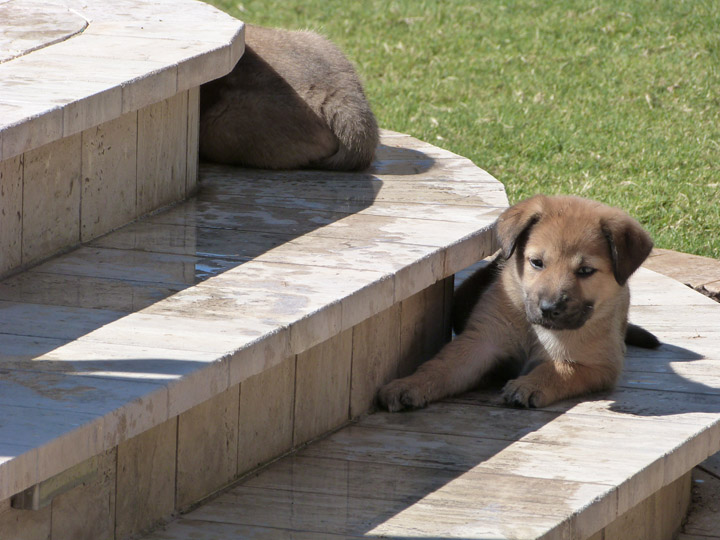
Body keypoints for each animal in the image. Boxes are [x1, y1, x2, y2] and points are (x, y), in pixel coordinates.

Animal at [376, 194, 660, 410]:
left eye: (586, 271)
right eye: (537, 262)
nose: (549, 309)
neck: (535, 331)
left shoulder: (598, 364)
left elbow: (559, 369)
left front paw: (529, 385)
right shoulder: (482, 341)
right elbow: (440, 367)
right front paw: (409, 384)